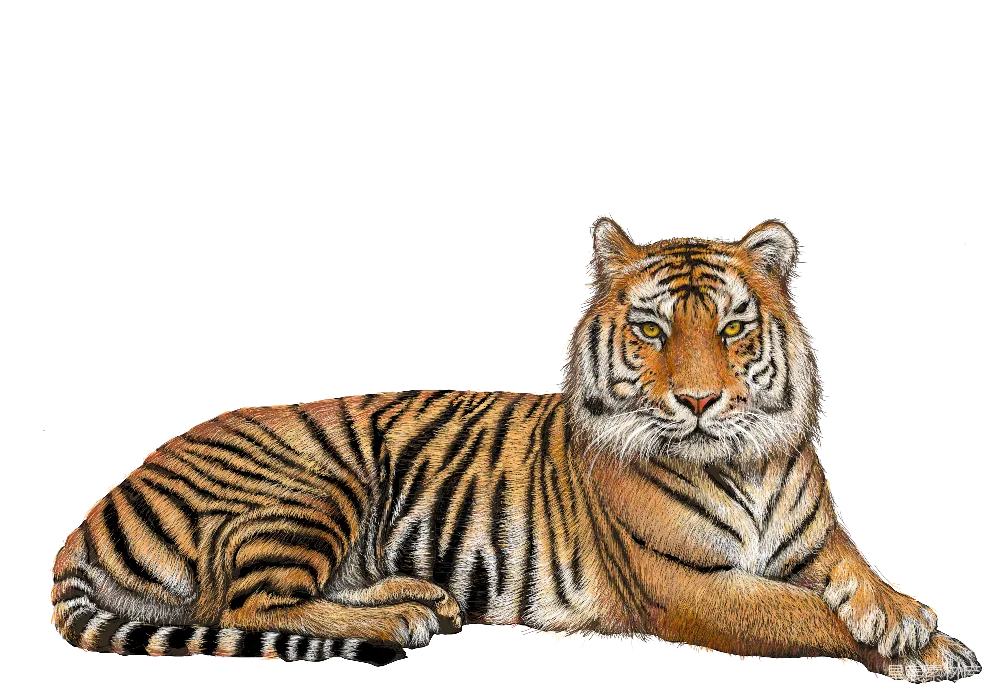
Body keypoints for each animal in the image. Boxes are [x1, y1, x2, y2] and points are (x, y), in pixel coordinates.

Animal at [48, 218, 981, 680]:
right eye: (651, 331)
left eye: (731, 329)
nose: (699, 401)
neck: (746, 460)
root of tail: (99, 504)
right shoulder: (688, 586)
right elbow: (804, 613)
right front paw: (924, 651)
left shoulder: (816, 539)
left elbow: (855, 570)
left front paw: (913, 623)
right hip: (310, 484)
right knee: (246, 606)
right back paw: (402, 617)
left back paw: (420, 596)